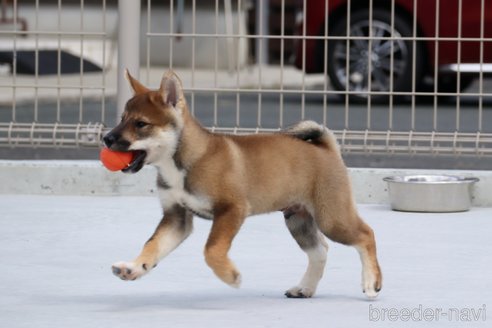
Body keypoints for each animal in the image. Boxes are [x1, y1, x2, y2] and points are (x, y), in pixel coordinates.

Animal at [104, 70, 382, 298]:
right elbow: (153, 245)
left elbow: (212, 249)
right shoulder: (176, 218)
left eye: (141, 124)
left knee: (366, 235)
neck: (183, 160)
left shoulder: (231, 209)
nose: (106, 138)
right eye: (121, 119)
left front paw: (230, 276)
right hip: (298, 219)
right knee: (320, 251)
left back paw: (371, 282)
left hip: (331, 218)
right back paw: (305, 288)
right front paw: (134, 267)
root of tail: (326, 147)